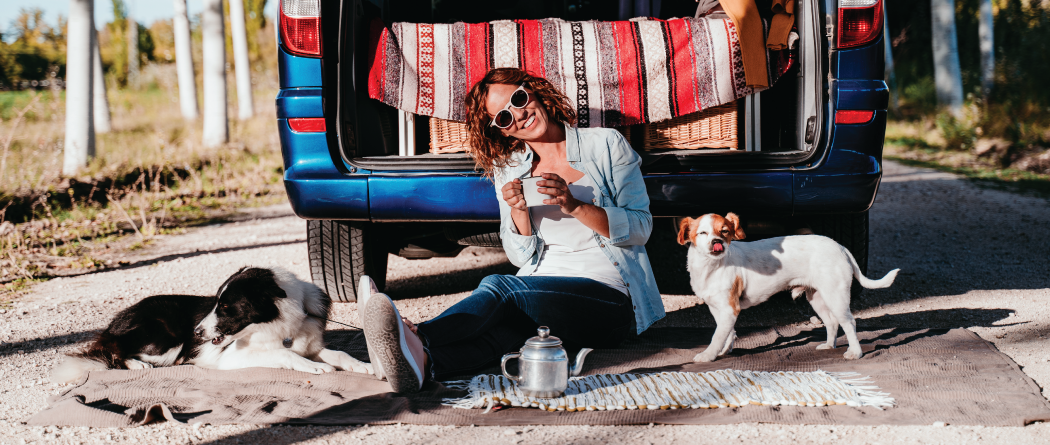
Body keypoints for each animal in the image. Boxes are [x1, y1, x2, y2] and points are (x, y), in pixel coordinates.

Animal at [53, 265, 375, 384]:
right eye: (216, 303)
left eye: (226, 307)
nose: (197, 332)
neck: (277, 320)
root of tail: (117, 320)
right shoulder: (231, 357)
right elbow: (284, 354)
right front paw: (316, 368)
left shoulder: (309, 344)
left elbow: (339, 353)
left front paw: (365, 365)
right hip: (166, 339)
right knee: (115, 351)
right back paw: (138, 365)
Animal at [680, 214, 902, 363]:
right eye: (702, 233)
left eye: (724, 231)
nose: (717, 242)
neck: (712, 266)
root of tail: (840, 247)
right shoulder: (718, 309)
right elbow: (727, 332)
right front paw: (725, 350)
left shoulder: (729, 309)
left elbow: (717, 336)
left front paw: (708, 355)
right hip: (817, 298)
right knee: (831, 323)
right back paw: (829, 345)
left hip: (836, 297)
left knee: (849, 323)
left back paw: (855, 352)